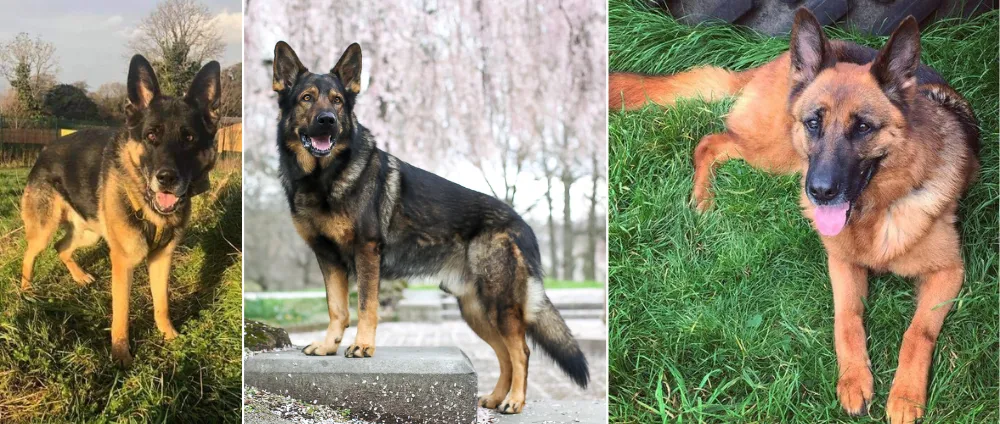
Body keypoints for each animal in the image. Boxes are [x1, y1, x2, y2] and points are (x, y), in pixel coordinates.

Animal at [20, 54, 221, 366]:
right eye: (151, 136)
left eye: (189, 138)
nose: (166, 178)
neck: (148, 208)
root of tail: (44, 150)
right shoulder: (123, 263)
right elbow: (122, 312)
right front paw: (121, 355)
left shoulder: (162, 259)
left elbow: (162, 303)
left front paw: (170, 336)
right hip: (45, 228)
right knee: (30, 255)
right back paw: (26, 291)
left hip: (89, 233)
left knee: (61, 247)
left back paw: (79, 277)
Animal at [608, 7, 976, 424]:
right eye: (815, 122)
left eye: (863, 127)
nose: (820, 192)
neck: (877, 208)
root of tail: (778, 62)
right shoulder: (841, 262)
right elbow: (847, 319)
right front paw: (854, 379)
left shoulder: (948, 272)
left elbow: (917, 333)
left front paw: (905, 396)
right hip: (780, 153)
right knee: (710, 142)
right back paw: (702, 199)